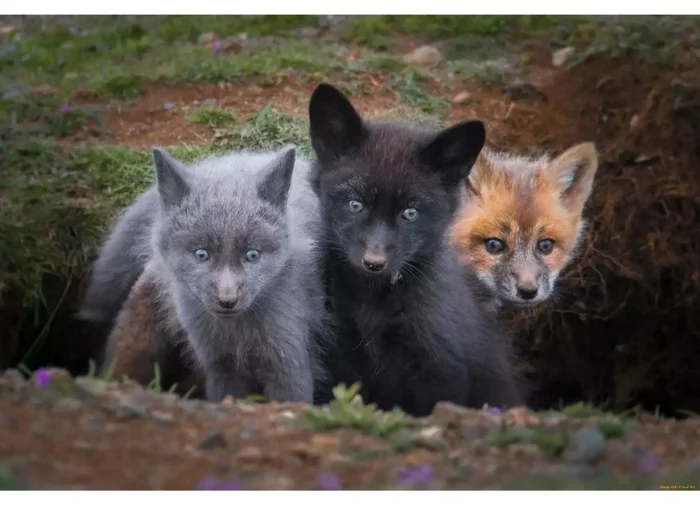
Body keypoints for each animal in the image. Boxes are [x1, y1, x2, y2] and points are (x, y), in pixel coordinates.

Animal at [90, 146, 328, 404]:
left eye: (252, 255)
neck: (238, 335)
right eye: (201, 254)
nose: (227, 300)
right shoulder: (220, 368)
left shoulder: (289, 366)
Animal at [307, 83, 524, 417]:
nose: (374, 262)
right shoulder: (338, 352)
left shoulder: (436, 367)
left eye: (410, 213)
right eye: (355, 205)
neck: (373, 303)